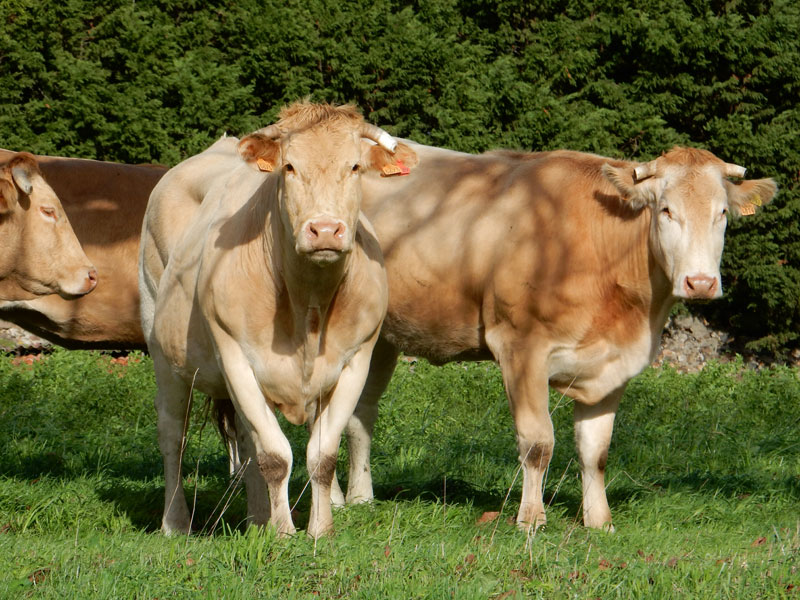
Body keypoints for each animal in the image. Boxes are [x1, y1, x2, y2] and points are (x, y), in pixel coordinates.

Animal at [141, 103, 418, 540]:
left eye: (355, 166)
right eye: (289, 167)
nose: (325, 229)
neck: (307, 305)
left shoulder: (357, 360)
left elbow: (320, 455)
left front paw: (319, 530)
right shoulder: (234, 355)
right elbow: (275, 454)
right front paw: (284, 533)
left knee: (245, 441)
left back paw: (257, 518)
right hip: (162, 350)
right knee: (173, 435)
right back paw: (176, 522)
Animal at [334, 143, 780, 532]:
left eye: (722, 213)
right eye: (666, 210)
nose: (700, 283)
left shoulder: (612, 364)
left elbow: (595, 451)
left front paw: (600, 521)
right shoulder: (521, 347)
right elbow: (538, 443)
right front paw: (531, 519)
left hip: (381, 338)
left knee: (360, 412)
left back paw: (360, 498)